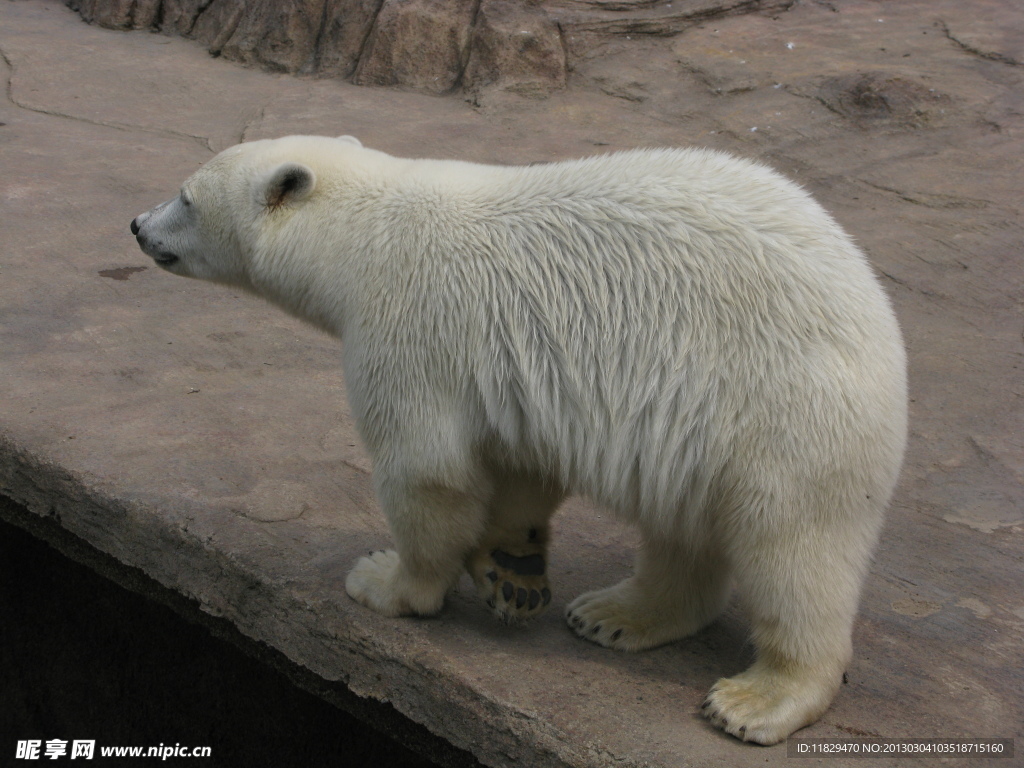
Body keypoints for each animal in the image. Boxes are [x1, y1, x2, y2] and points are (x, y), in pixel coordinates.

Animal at [132, 135, 909, 749]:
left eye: (186, 197)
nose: (137, 225)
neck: (364, 233)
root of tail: (884, 330)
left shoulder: (408, 325)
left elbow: (426, 470)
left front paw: (387, 582)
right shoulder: (520, 371)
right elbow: (520, 463)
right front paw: (513, 568)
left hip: (789, 413)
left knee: (796, 552)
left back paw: (758, 697)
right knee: (683, 529)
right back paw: (617, 614)